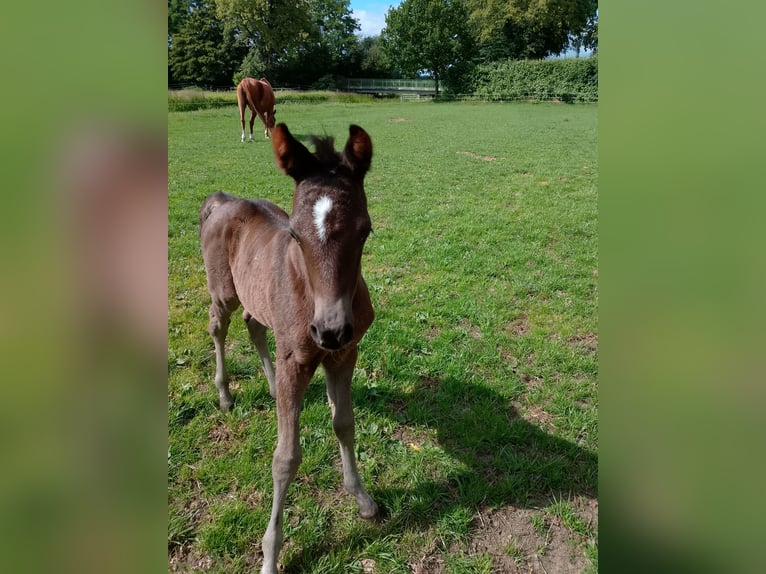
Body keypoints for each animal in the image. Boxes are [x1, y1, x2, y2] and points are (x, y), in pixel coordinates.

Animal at [199, 123, 379, 573]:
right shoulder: (300, 358)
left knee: (255, 326)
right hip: (224, 292)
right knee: (218, 326)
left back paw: (269, 384)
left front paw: (363, 499)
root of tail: (222, 199)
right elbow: (285, 458)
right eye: (296, 233)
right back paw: (225, 394)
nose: (330, 330)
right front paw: (269, 555)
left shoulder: (344, 355)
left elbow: (344, 424)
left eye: (365, 230)